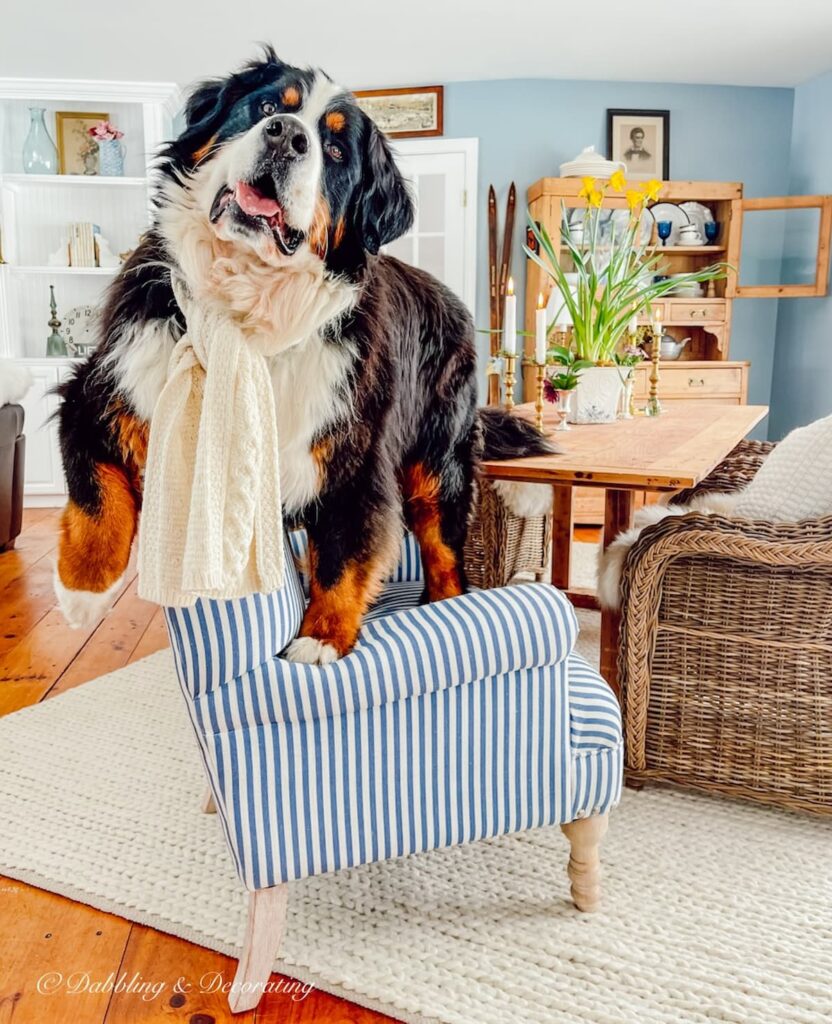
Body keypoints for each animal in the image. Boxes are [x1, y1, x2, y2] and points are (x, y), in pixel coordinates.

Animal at [53, 49, 553, 663]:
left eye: (334, 151)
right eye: (268, 107)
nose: (286, 136)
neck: (249, 306)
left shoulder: (354, 457)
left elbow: (342, 556)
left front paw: (320, 638)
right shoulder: (103, 384)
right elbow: (95, 490)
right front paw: (82, 591)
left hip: (439, 468)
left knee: (443, 554)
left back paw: (444, 602)